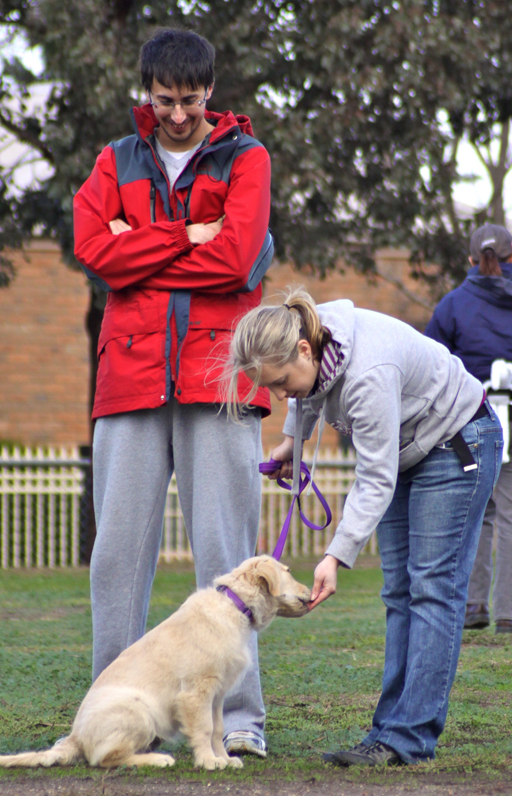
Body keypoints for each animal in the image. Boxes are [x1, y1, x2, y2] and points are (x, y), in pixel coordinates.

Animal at [0, 552, 312, 772]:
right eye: (288, 572)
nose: (311, 590)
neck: (234, 606)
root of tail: (76, 737)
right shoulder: (196, 691)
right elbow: (204, 728)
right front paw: (208, 761)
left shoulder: (217, 694)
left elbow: (217, 728)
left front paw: (224, 758)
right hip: (139, 711)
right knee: (103, 758)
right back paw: (157, 759)